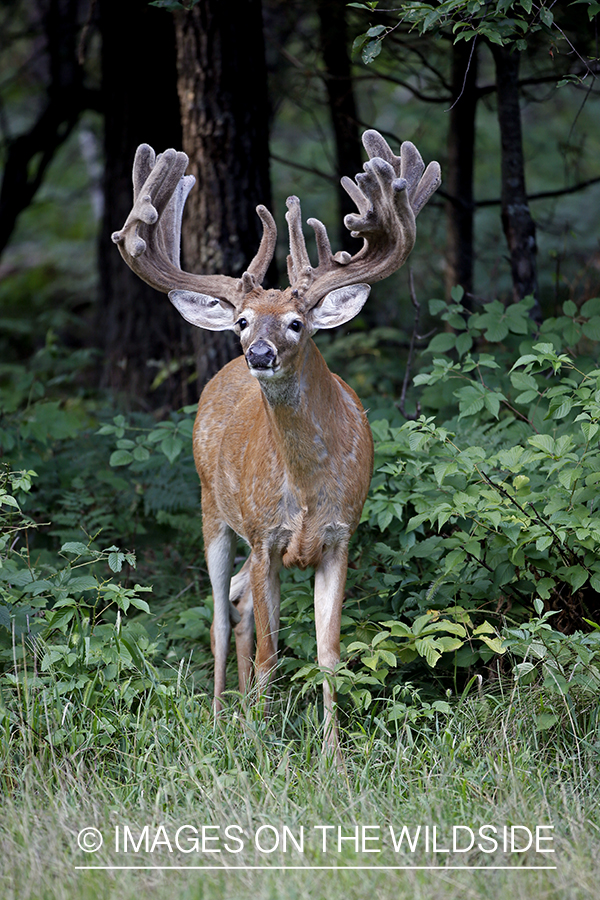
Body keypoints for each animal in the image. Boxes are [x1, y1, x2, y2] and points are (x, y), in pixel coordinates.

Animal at [112, 126, 440, 760]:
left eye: (296, 322)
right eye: (242, 320)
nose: (258, 353)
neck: (308, 489)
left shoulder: (340, 536)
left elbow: (329, 653)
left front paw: (332, 756)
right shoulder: (265, 536)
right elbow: (269, 654)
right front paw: (263, 750)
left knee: (239, 602)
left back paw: (240, 716)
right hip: (212, 509)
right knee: (220, 614)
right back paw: (223, 717)